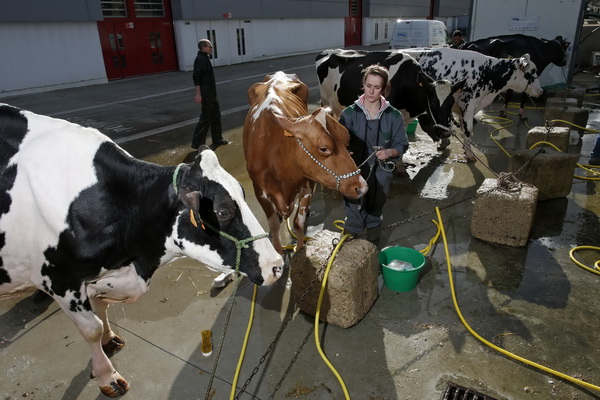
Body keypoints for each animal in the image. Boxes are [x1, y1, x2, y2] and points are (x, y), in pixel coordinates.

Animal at [0, 104, 284, 398]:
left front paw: (109, 339)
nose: (276, 265)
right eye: (223, 211)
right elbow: (91, 329)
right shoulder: (60, 280)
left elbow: (101, 306)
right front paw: (107, 376)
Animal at [243, 71, 366, 253]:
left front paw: (300, 249)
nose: (362, 187)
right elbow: (273, 225)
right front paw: (279, 250)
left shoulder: (308, 182)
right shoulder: (260, 191)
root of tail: (278, 74)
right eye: (323, 148)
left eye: (347, 138)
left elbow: (298, 223)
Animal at [404, 49, 544, 161]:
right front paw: (470, 155)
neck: (488, 72)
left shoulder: (461, 108)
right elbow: (468, 130)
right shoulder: (469, 105)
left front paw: (465, 149)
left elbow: (462, 129)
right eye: (532, 71)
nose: (540, 91)